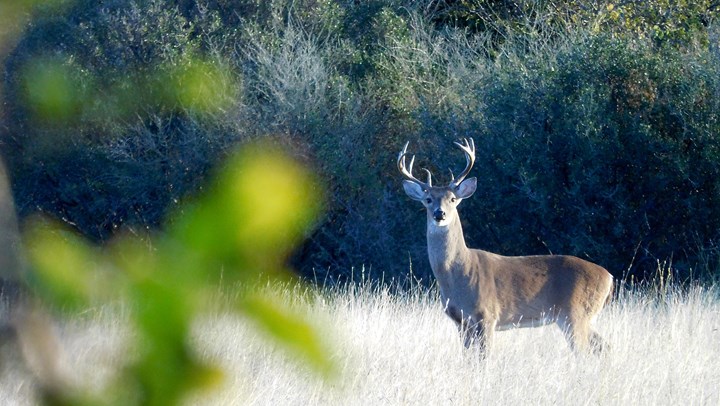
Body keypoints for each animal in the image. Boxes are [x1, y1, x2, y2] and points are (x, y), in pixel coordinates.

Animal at [400, 139, 612, 352]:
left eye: (452, 199)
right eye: (428, 199)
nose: (439, 214)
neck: (457, 273)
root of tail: (609, 277)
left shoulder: (487, 314)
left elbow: (484, 356)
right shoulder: (461, 322)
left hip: (575, 313)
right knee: (604, 346)